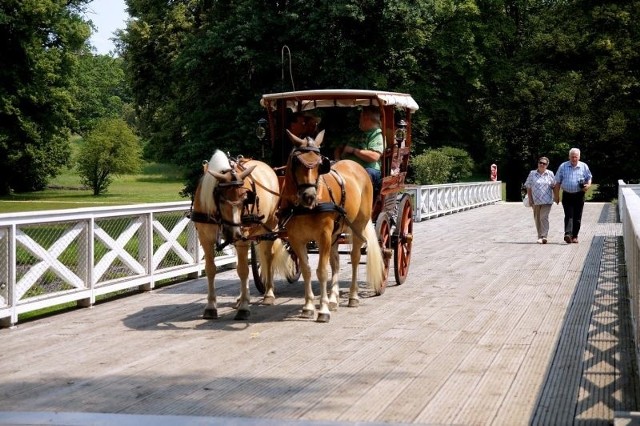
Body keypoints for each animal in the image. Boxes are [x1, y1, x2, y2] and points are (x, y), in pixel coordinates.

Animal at [191, 150, 288, 320]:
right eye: (222, 199)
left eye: (245, 199)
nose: (236, 232)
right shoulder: (205, 239)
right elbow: (211, 269)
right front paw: (211, 306)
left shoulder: (243, 238)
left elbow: (243, 270)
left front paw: (243, 307)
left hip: (269, 225)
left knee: (267, 257)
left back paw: (268, 293)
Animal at [272, 130, 382, 322]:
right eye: (297, 162)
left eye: (319, 164)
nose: (309, 196)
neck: (303, 208)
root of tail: (356, 166)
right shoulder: (296, 239)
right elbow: (307, 270)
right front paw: (309, 307)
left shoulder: (323, 235)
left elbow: (322, 271)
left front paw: (322, 310)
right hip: (335, 234)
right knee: (335, 262)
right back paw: (333, 298)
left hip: (357, 226)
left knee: (354, 258)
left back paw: (353, 297)